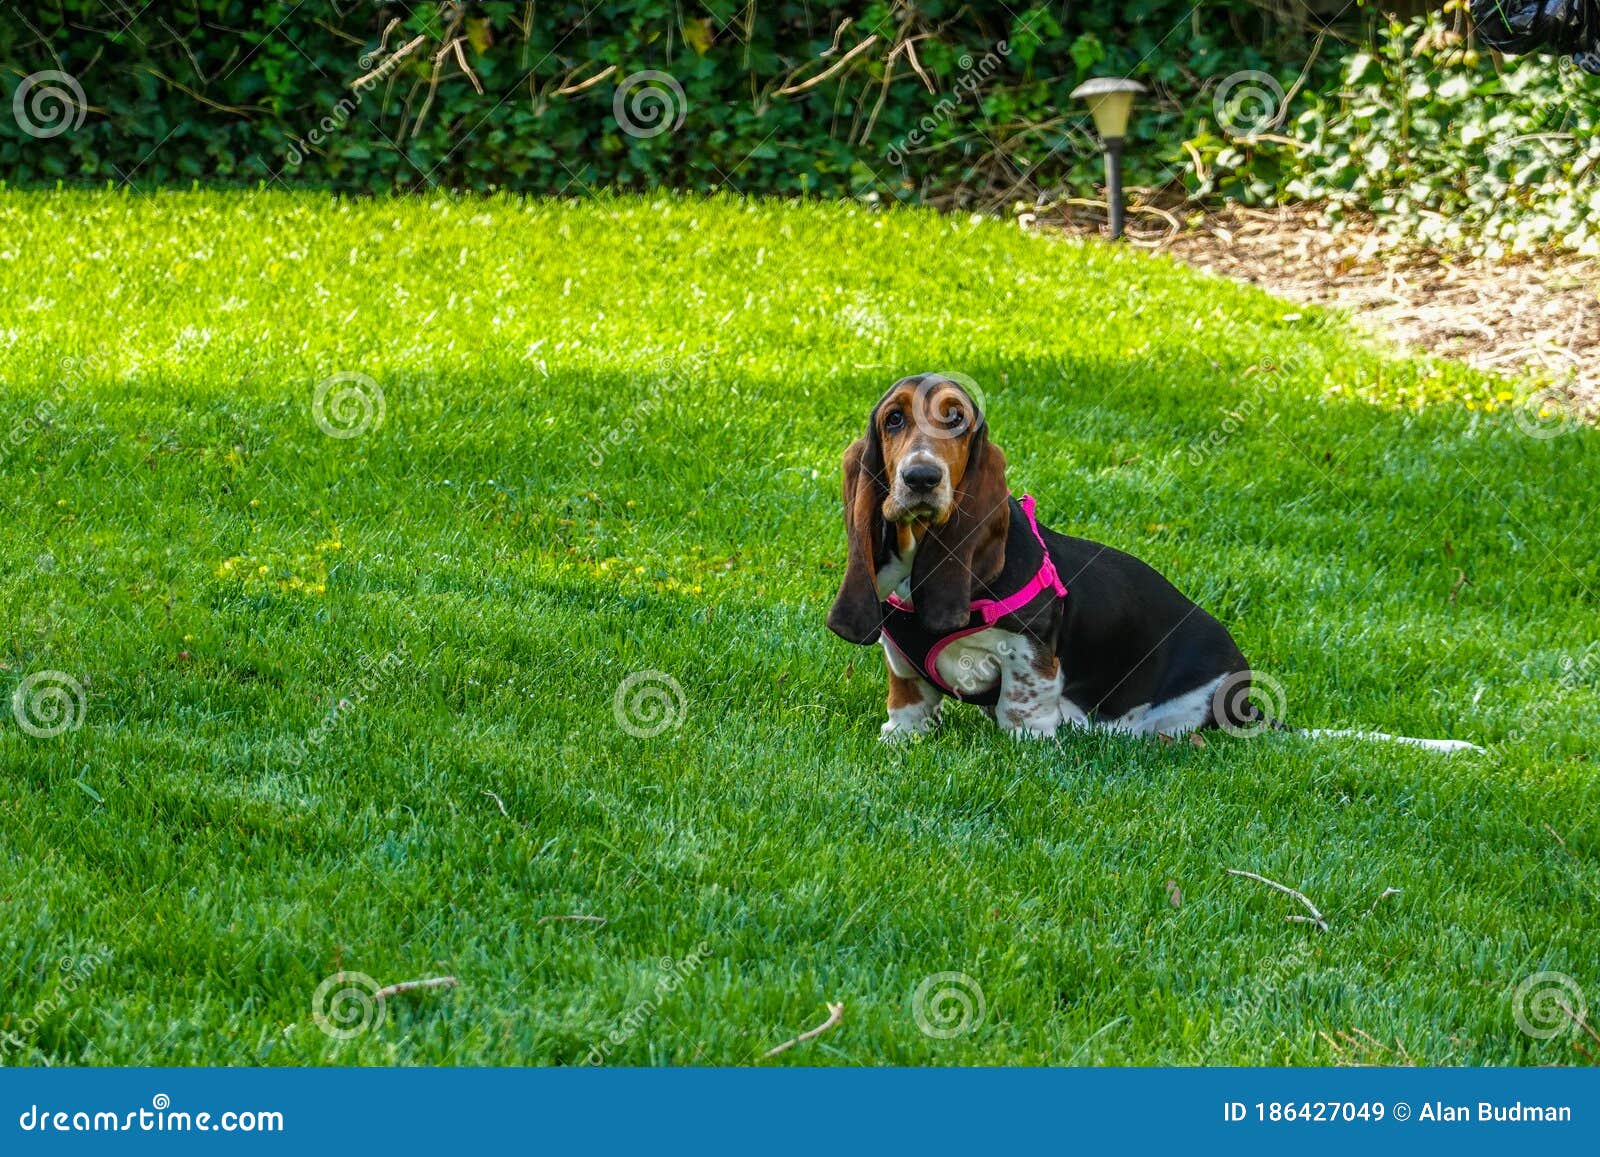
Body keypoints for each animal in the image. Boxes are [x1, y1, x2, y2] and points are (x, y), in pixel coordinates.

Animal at [832, 371, 1478, 752]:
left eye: (957, 420)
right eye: (893, 420)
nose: (920, 477)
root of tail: (1249, 703)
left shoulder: (1032, 654)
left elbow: (1024, 707)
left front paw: (1027, 748)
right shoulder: (902, 659)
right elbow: (907, 701)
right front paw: (898, 741)